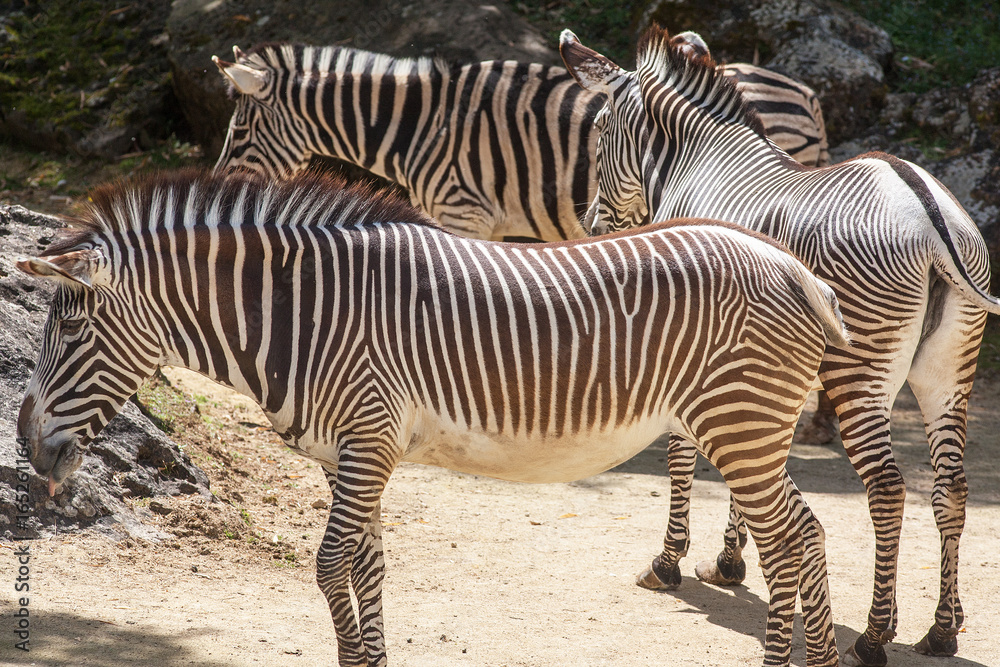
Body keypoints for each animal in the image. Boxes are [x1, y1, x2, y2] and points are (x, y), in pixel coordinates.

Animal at [17, 170, 849, 667]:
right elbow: (366, 564)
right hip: (753, 428)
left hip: (739, 420)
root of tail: (796, 267)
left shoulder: (368, 438)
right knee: (804, 534)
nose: (28, 448)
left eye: (72, 329)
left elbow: (329, 565)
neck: (298, 316)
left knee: (791, 541)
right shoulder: (352, 452)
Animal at [561, 25, 1000, 667]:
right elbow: (757, 465)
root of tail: (929, 212)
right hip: (949, 373)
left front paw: (668, 563)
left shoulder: (692, 346)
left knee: (889, 488)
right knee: (951, 488)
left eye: (597, 134)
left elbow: (682, 456)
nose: (592, 227)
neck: (698, 160)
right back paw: (942, 630)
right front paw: (730, 560)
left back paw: (874, 635)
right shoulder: (751, 360)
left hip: (859, 370)